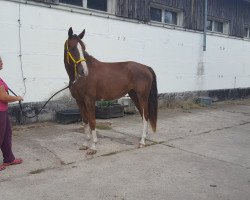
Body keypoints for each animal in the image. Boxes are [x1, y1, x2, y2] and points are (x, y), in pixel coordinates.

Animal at [64, 27, 158, 155]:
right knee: (144, 116)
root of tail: (146, 67)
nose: (84, 71)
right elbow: (85, 121)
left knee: (145, 115)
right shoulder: (79, 101)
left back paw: (142, 142)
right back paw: (143, 137)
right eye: (73, 47)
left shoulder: (89, 100)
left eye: (83, 48)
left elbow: (92, 121)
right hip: (134, 96)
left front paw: (93, 147)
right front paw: (85, 144)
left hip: (142, 96)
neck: (78, 78)